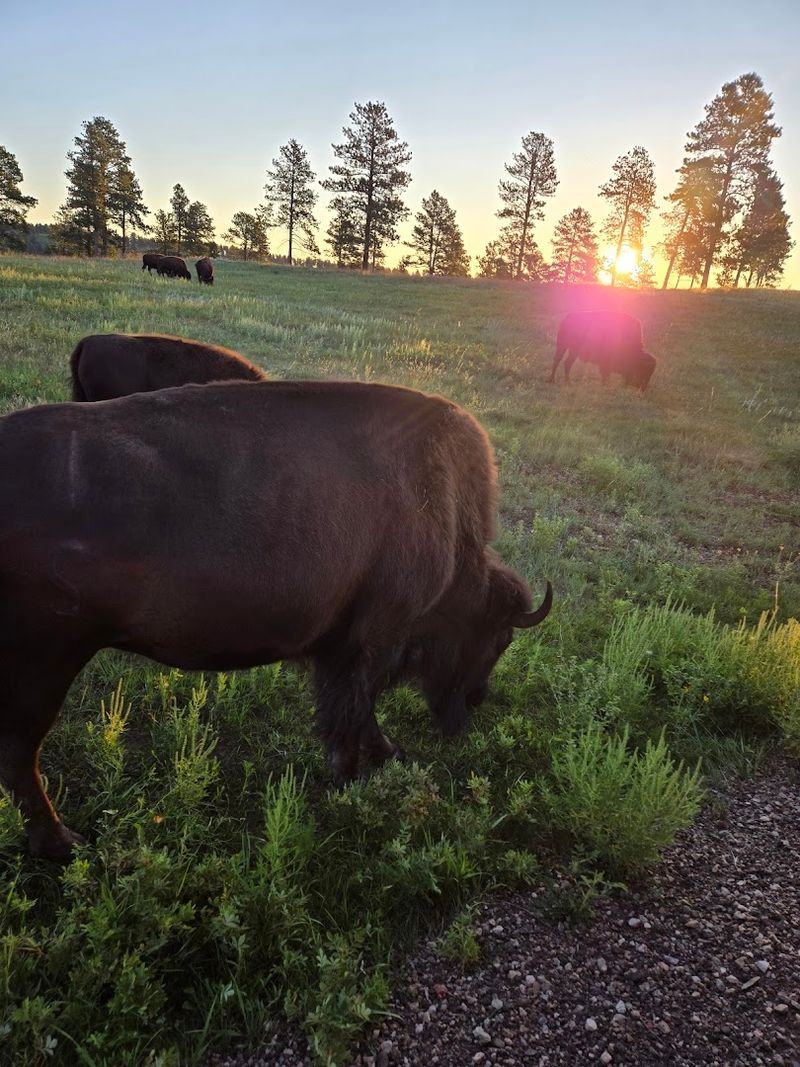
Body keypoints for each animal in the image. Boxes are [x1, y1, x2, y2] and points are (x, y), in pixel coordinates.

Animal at [0, 380, 552, 860]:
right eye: (498, 637)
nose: (476, 700)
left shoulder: (342, 649)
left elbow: (357, 708)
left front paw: (382, 754)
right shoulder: (373, 640)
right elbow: (353, 708)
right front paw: (351, 776)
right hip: (47, 662)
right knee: (20, 751)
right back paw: (62, 843)